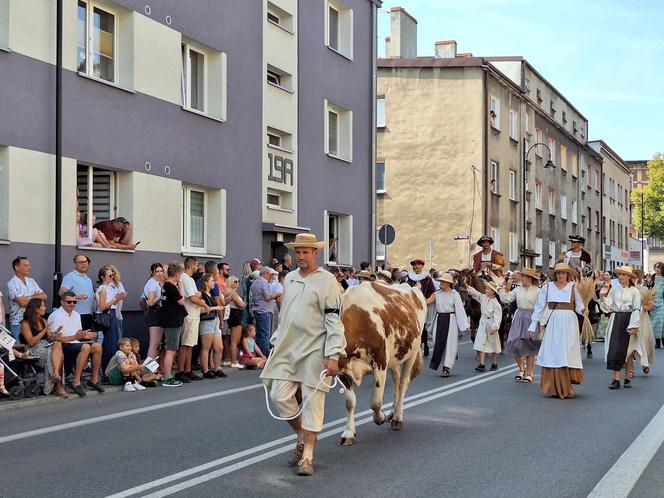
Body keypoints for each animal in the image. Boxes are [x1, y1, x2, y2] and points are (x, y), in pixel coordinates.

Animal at [340, 278, 428, 446]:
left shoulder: (380, 360)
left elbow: (376, 402)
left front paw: (380, 417)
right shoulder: (341, 368)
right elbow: (349, 401)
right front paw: (348, 433)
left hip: (412, 350)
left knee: (403, 382)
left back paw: (397, 418)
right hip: (395, 356)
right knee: (397, 380)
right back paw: (393, 411)